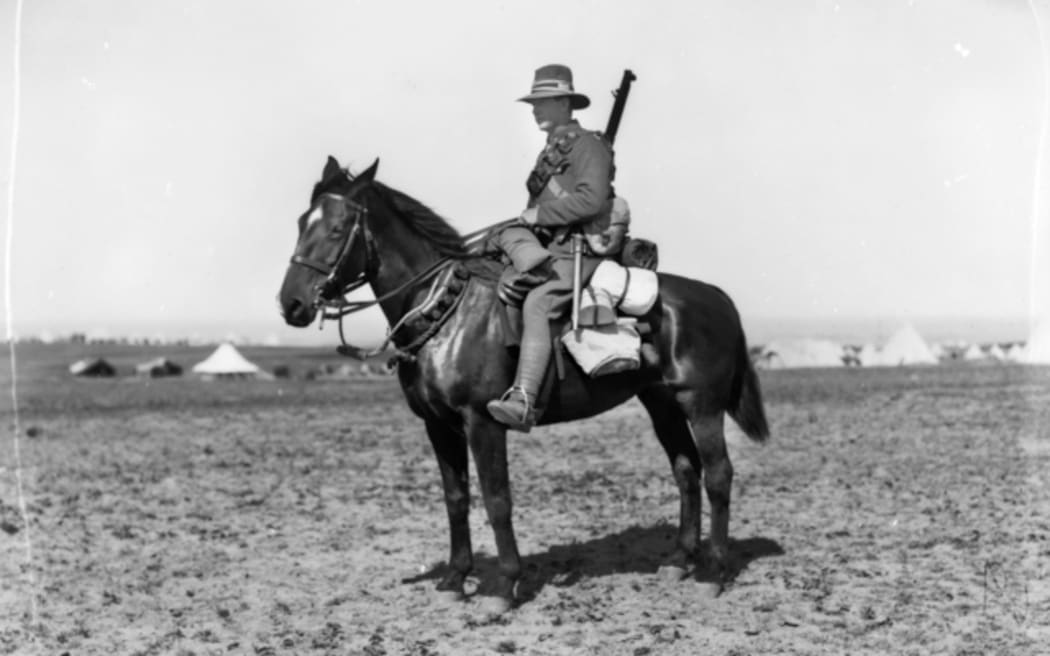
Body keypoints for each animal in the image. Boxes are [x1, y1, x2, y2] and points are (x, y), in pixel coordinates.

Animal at [279, 154, 772, 612]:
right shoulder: (438, 425)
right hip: (662, 403)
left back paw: (713, 571)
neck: (447, 312)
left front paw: (503, 585)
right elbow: (456, 498)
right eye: (302, 222)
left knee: (718, 475)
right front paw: (455, 579)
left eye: (338, 227)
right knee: (686, 470)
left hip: (701, 404)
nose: (292, 303)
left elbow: (497, 500)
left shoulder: (482, 422)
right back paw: (679, 561)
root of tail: (717, 296)